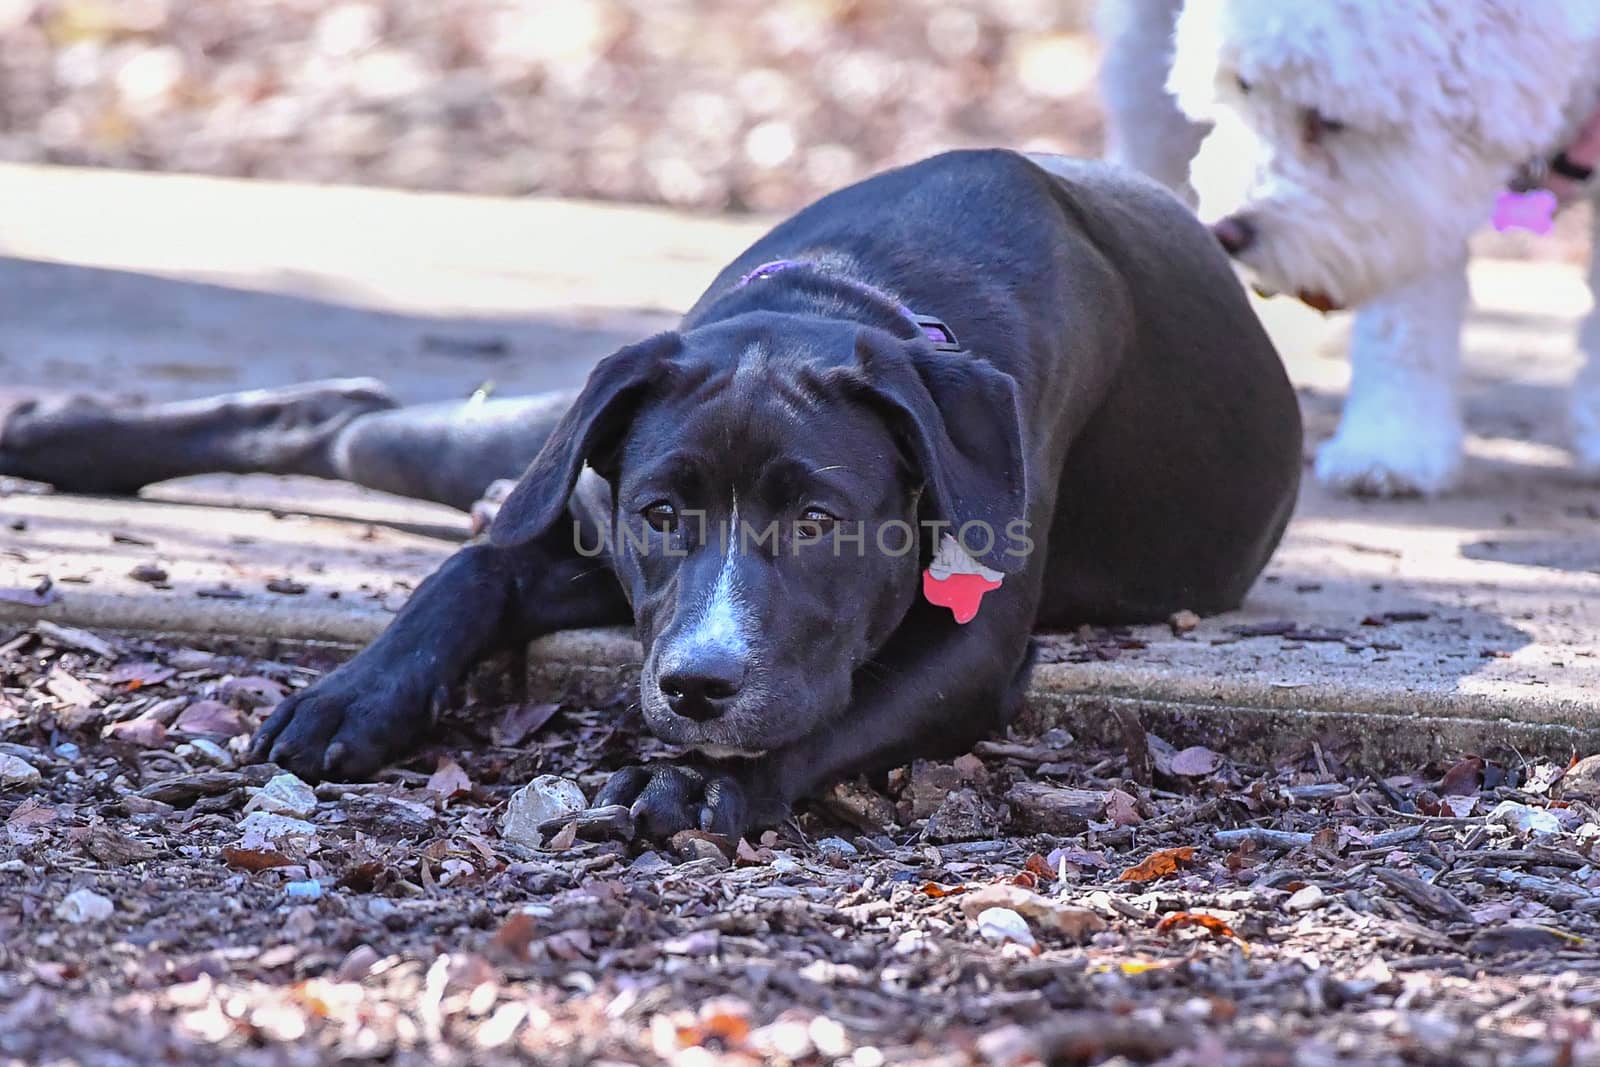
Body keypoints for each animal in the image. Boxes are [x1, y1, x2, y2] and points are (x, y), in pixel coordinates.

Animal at [3, 150, 1299, 831]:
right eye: (661, 514)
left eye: (819, 522)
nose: (696, 687)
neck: (848, 296)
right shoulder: (591, 535)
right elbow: (465, 570)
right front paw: (349, 696)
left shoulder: (970, 641)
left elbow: (836, 712)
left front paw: (683, 781)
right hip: (531, 442)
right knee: (348, 418)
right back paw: (52, 431)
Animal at [1100, 0, 1600, 499]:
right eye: (1245, 86)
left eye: (1328, 119)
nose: (1225, 232)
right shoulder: (1418, 196)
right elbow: (1403, 324)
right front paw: (1391, 445)